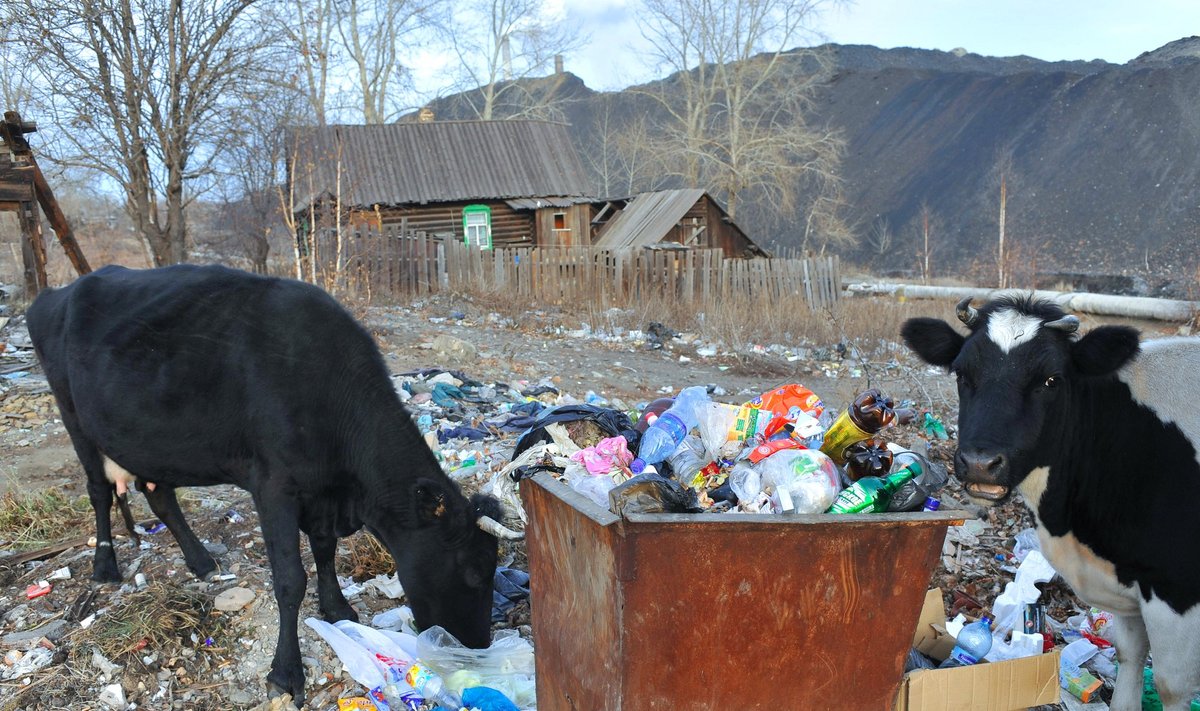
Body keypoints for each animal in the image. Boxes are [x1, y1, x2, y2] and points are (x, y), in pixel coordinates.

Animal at [25, 264, 523, 701]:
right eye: (473, 572)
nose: (476, 649)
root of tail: (56, 293)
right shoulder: (274, 486)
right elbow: (290, 580)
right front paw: (286, 673)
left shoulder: (322, 494)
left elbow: (325, 552)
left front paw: (337, 608)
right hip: (75, 419)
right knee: (98, 493)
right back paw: (105, 566)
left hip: (146, 440)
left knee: (160, 496)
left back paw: (201, 561)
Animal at [902, 294, 1200, 711]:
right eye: (961, 374)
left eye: (1051, 380)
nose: (980, 463)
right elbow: (1129, 655)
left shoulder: (1177, 591)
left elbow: (1172, 684)